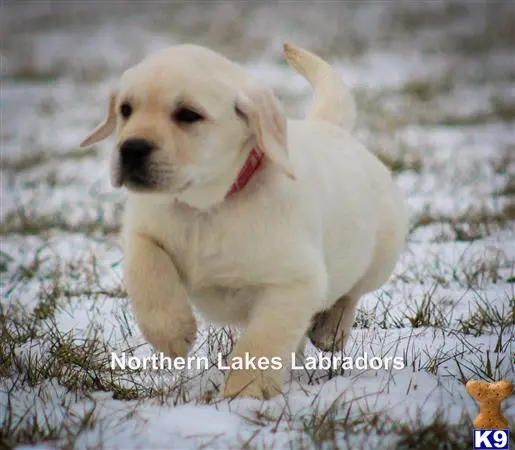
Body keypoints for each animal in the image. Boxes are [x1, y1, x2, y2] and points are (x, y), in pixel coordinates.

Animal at [81, 44, 408, 400]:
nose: (131, 148)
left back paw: (330, 329)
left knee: (352, 291)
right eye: (126, 109)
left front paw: (246, 392)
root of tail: (328, 126)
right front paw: (171, 331)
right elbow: (148, 269)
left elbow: (262, 341)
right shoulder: (142, 230)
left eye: (188, 115)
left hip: (382, 255)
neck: (207, 208)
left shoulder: (294, 282)